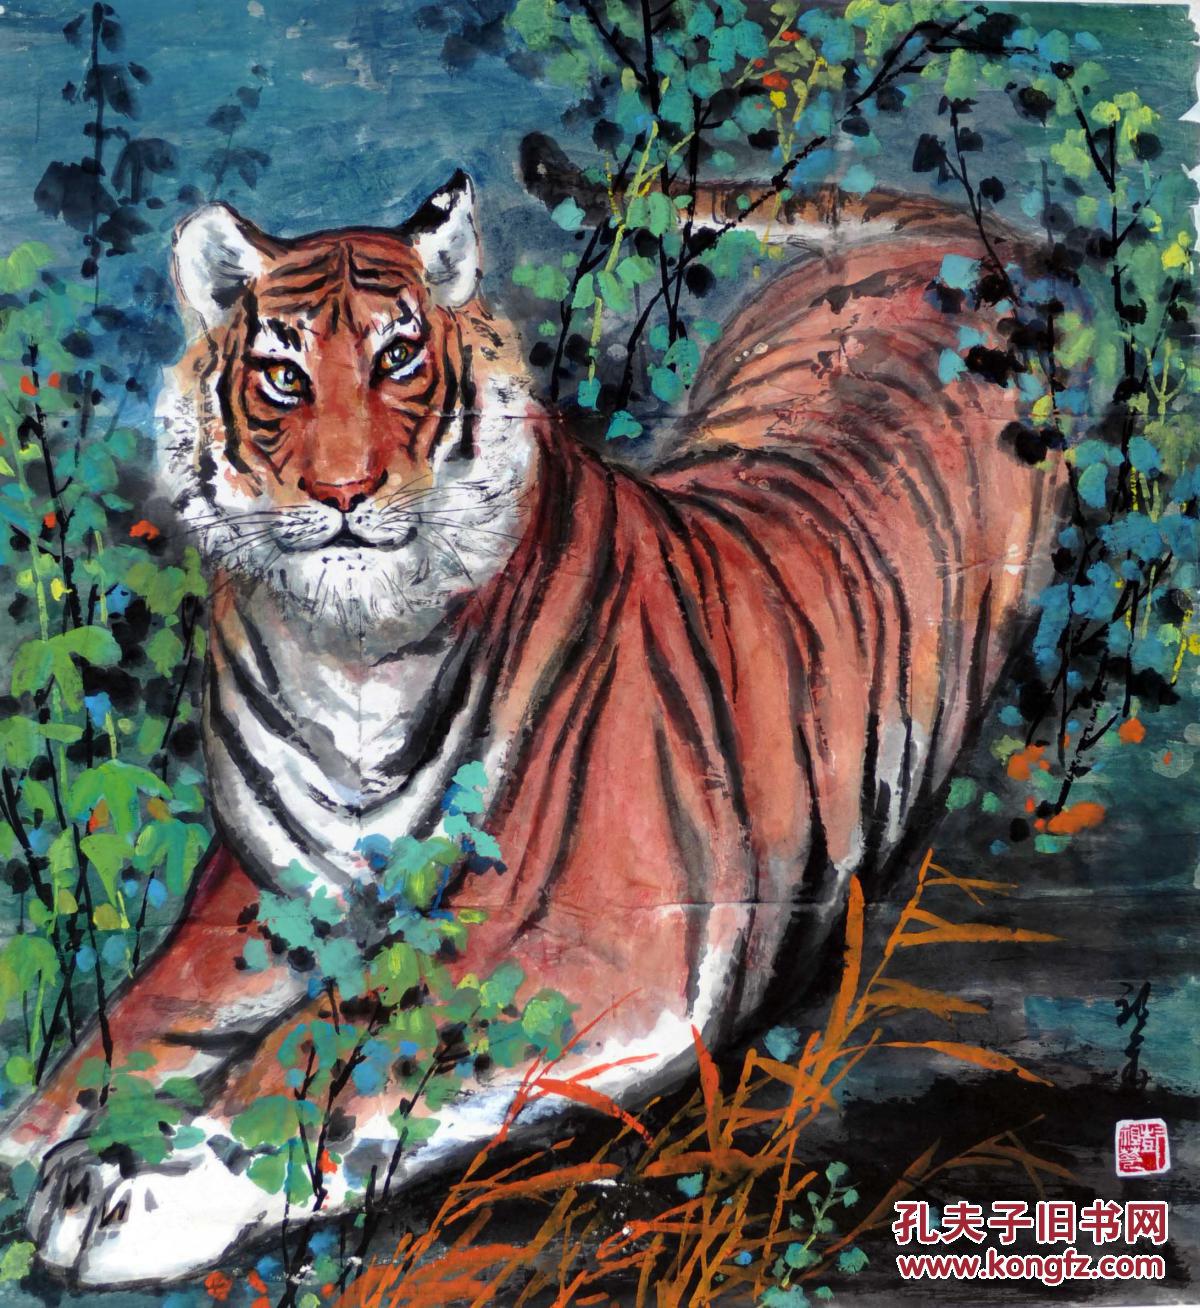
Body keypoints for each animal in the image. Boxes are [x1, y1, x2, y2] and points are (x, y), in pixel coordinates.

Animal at [0, 168, 1059, 1284]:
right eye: (283, 377)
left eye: (399, 358)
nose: (343, 491)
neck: (352, 661)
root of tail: (940, 239)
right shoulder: (258, 905)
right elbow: (132, 1026)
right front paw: (42, 1136)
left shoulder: (593, 939)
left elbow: (329, 1052)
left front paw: (124, 1187)